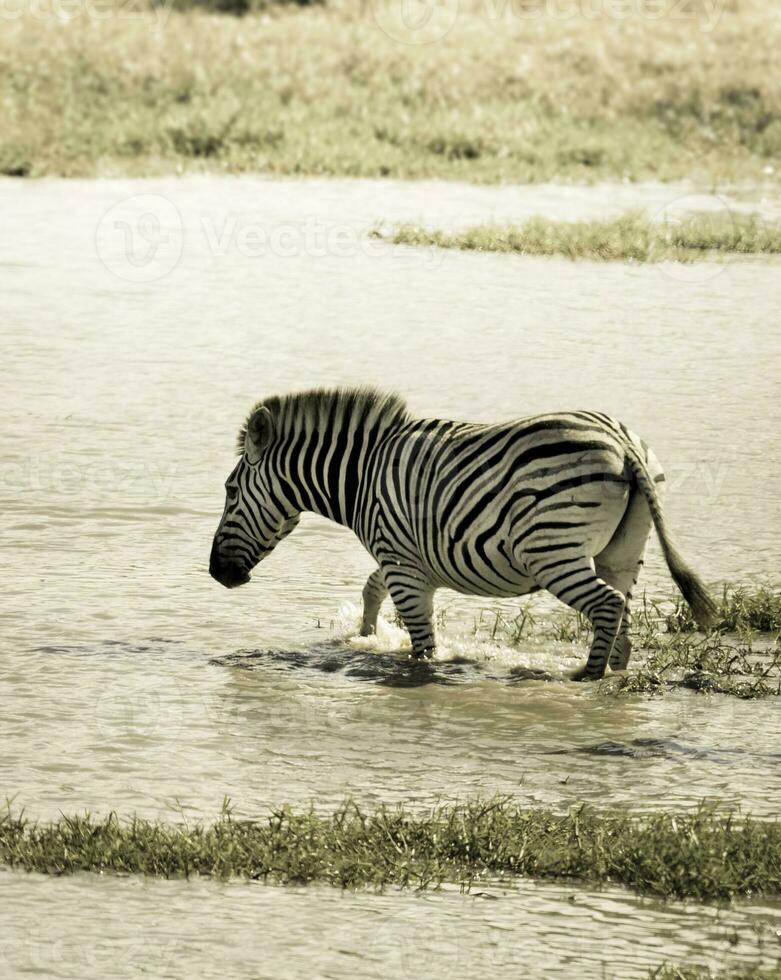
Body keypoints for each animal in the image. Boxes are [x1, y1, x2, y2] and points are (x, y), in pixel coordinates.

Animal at [206, 386, 712, 676]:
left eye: (229, 491)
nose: (215, 574)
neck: (362, 475)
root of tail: (623, 442)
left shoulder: (403, 565)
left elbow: (423, 646)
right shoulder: (402, 555)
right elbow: (371, 588)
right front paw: (364, 639)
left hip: (552, 551)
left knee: (606, 605)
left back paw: (584, 677)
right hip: (623, 550)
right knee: (622, 606)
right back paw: (613, 674)